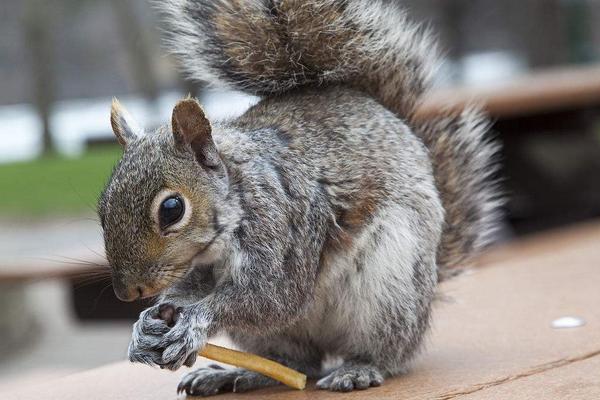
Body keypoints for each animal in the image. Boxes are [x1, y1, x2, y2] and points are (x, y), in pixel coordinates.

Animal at [98, 0, 502, 394]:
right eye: (102, 209)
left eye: (172, 209)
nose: (127, 292)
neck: (238, 198)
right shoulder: (202, 267)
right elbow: (197, 292)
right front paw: (145, 326)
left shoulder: (284, 225)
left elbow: (274, 299)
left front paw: (195, 321)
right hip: (278, 338)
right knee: (299, 363)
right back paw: (235, 375)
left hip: (389, 291)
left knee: (387, 352)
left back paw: (359, 368)